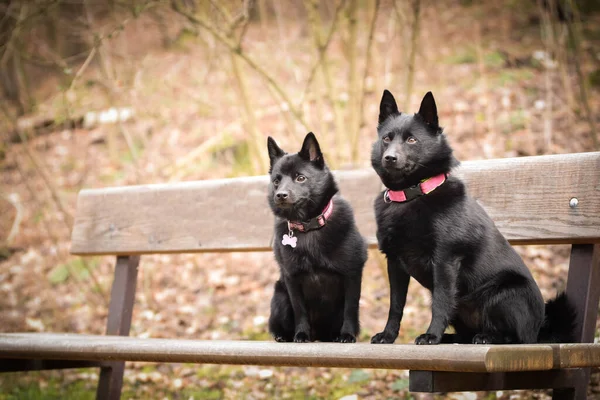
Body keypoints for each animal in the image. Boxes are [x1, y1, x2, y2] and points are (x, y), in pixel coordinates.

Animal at [266, 133, 366, 342]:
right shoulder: (292, 279)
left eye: (300, 178)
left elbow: (350, 308)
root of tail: (319, 336)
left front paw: (347, 334)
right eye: (276, 181)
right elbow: (300, 310)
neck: (308, 226)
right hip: (280, 296)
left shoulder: (352, 274)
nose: (280, 195)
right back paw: (283, 336)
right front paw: (301, 334)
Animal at [368, 90, 576, 344]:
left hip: (505, 294)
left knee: (515, 337)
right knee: (465, 332)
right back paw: (453, 338)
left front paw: (431, 335)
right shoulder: (395, 263)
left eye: (412, 140)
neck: (411, 195)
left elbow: (441, 303)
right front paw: (388, 335)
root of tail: (540, 331)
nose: (390, 158)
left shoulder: (445, 261)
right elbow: (395, 305)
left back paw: (488, 337)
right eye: (387, 139)